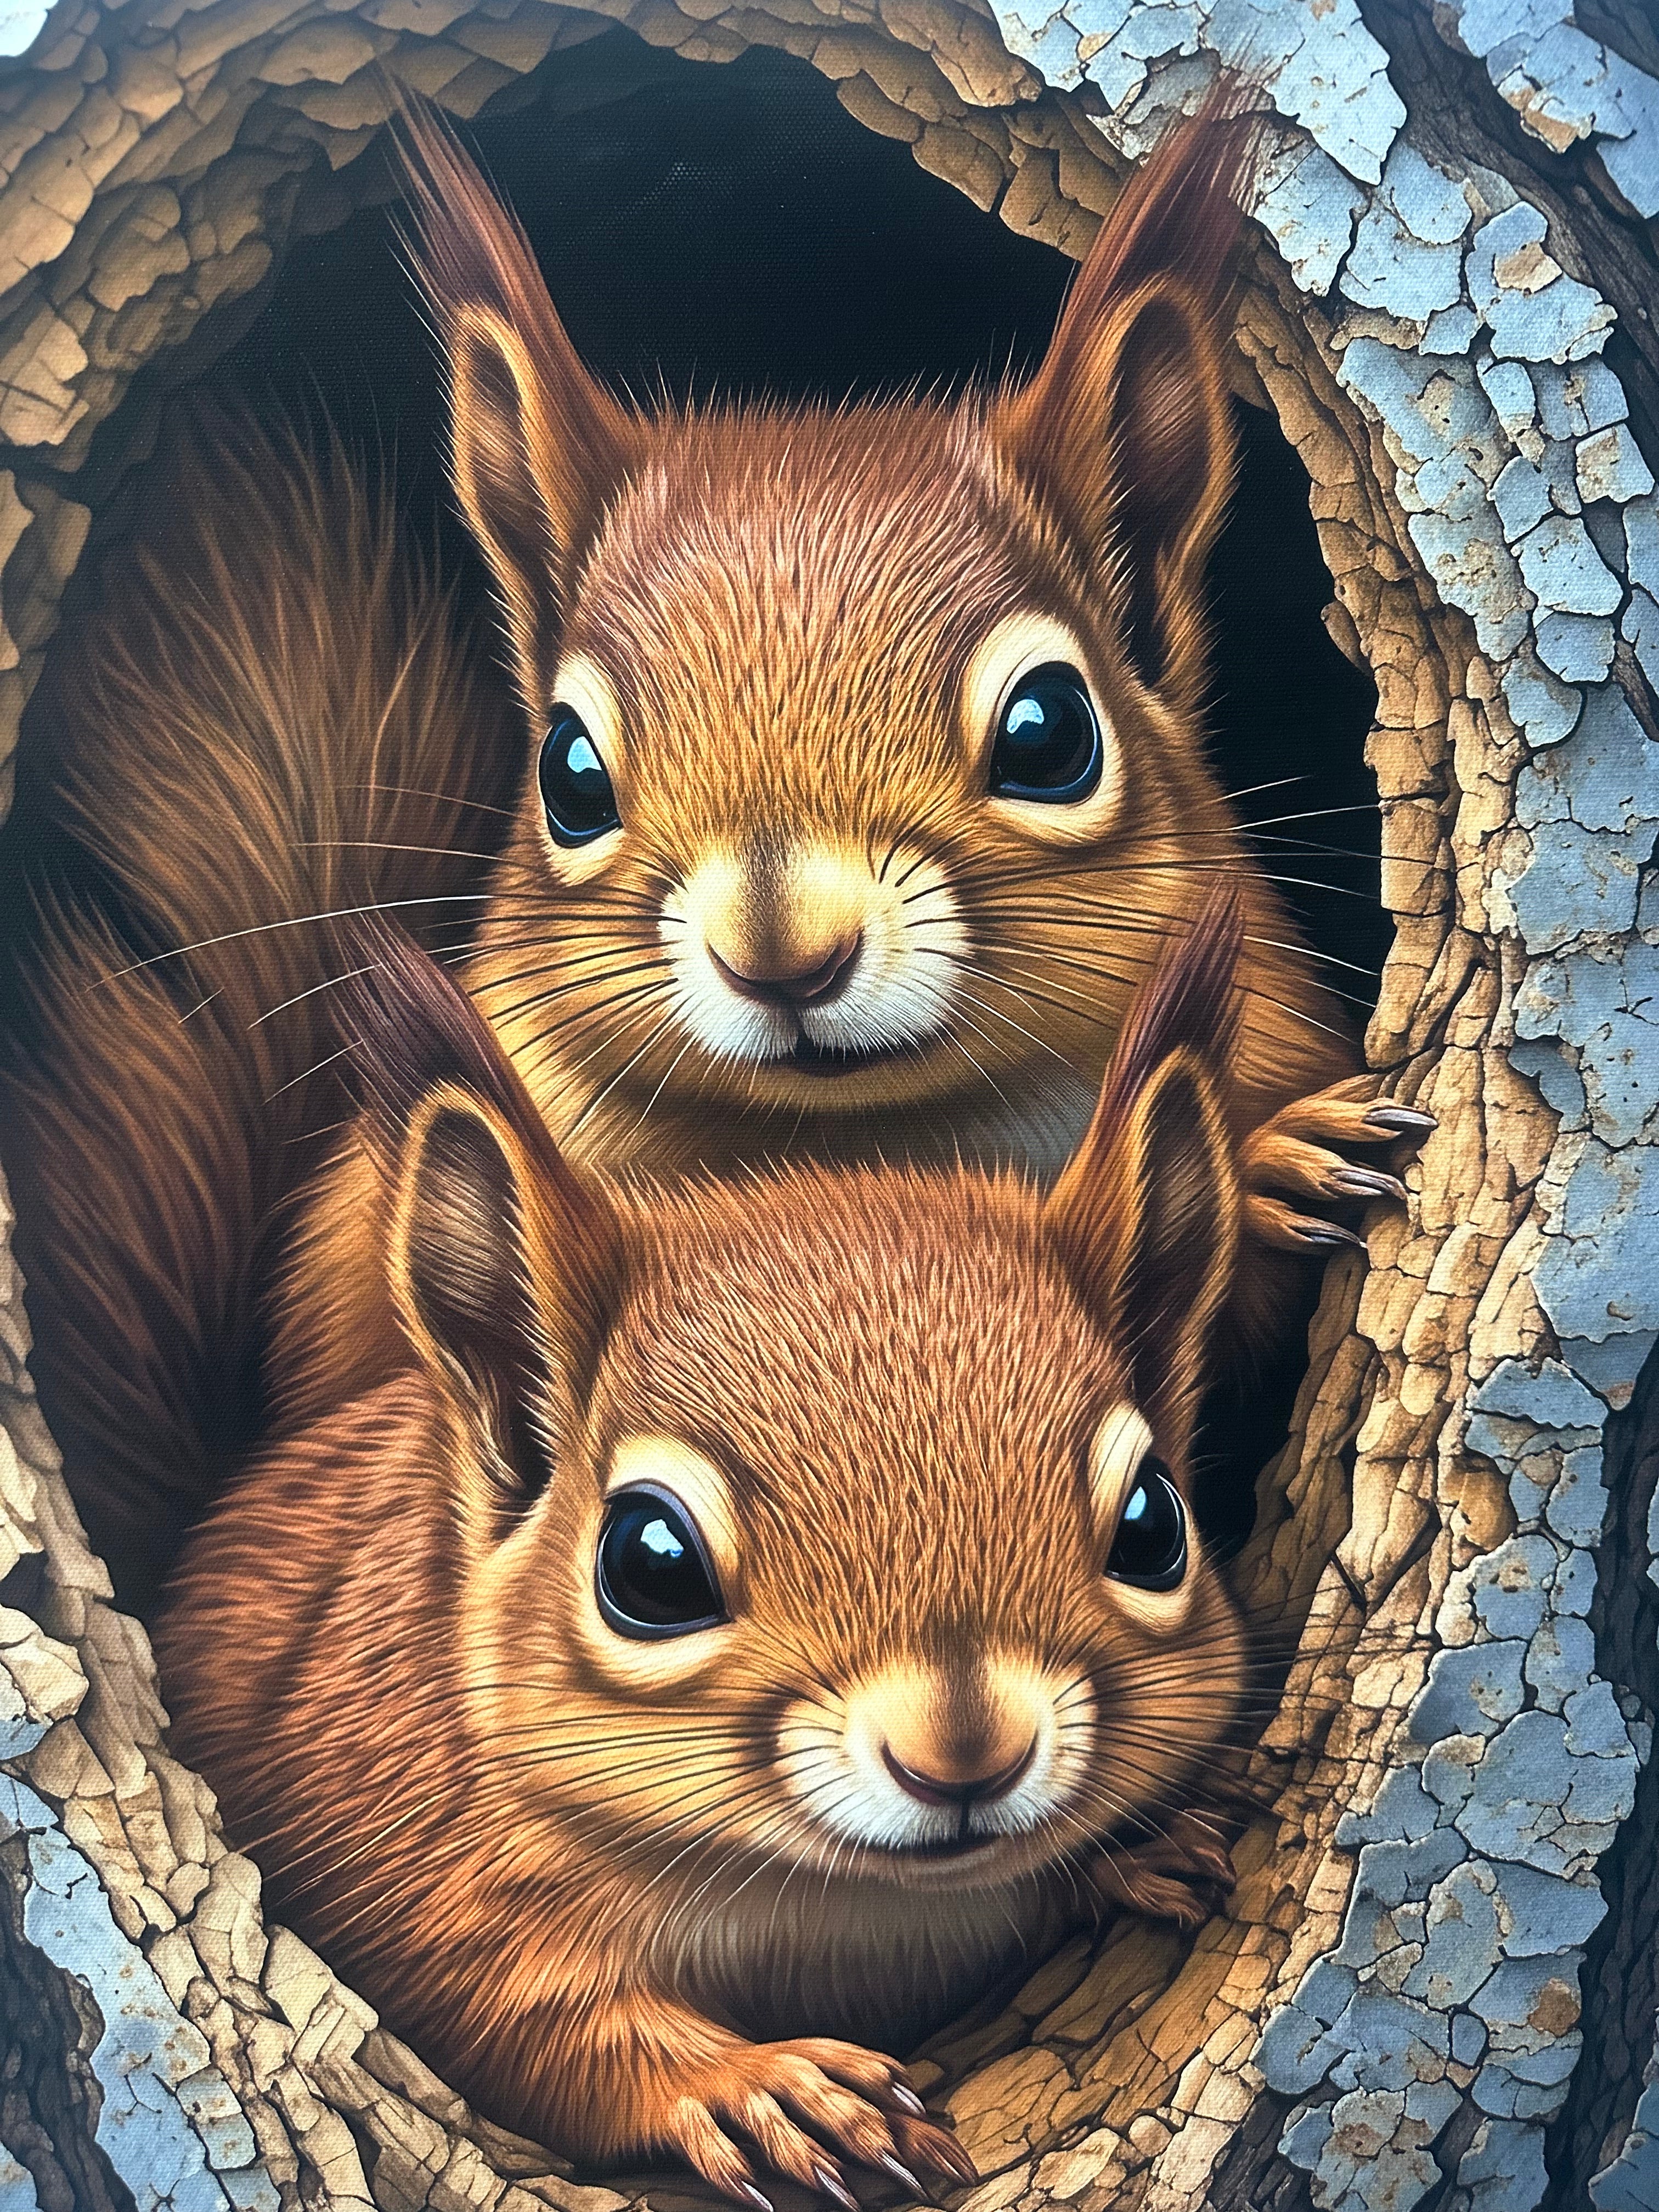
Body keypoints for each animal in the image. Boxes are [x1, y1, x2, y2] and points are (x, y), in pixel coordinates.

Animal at [141, 897, 1250, 2199]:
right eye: (649, 1566)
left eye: (1154, 1522)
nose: (964, 1755)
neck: (836, 1903)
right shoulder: (406, 1851)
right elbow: (523, 2029)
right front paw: (764, 2090)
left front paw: (1142, 1853)